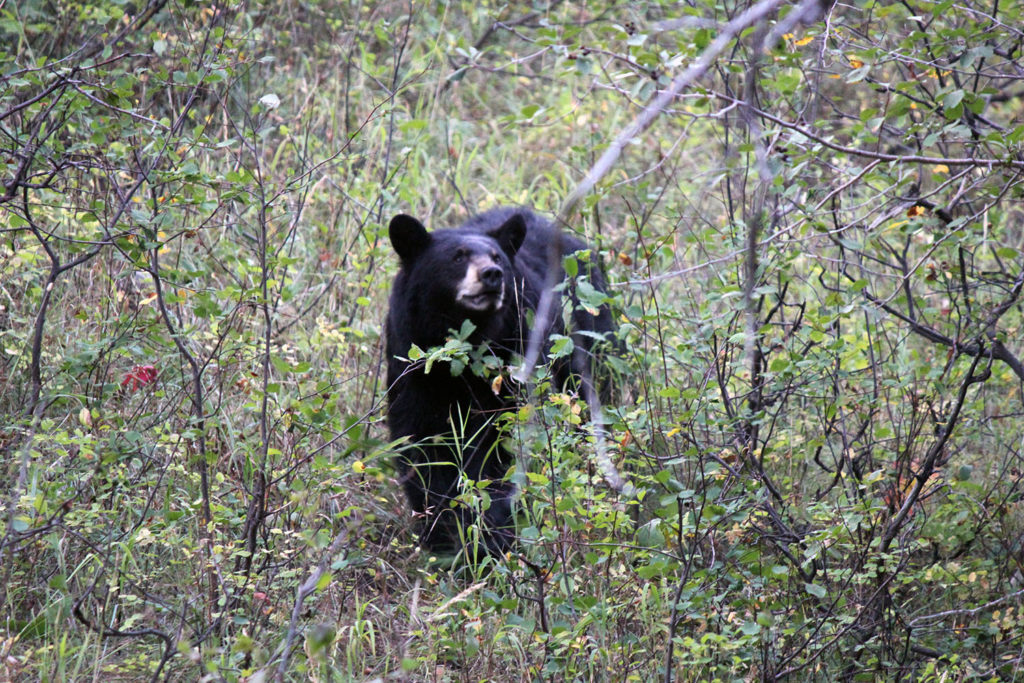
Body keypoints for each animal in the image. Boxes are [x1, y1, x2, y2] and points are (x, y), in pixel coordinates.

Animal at [382, 206, 606, 557]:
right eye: (457, 257)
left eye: (497, 257)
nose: (491, 274)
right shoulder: (413, 366)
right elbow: (422, 448)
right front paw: (442, 537)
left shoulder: (514, 360)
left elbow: (501, 450)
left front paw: (490, 536)